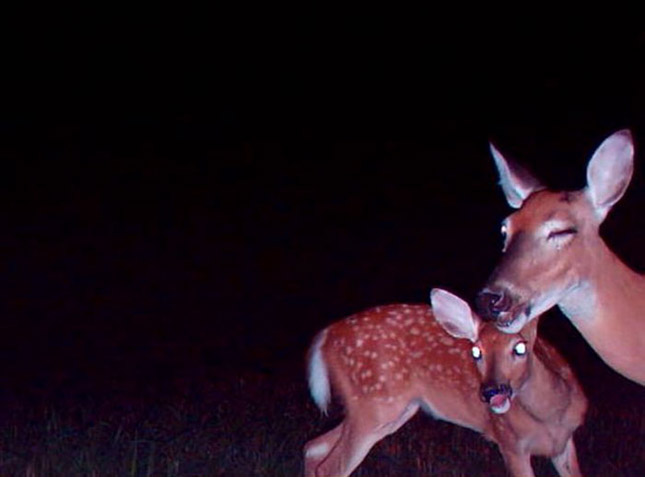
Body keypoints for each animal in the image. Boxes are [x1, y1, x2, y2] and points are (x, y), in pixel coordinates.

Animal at [302, 288, 584, 474]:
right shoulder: (511, 443)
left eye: (520, 348)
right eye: (476, 351)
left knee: (313, 447)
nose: (491, 392)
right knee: (329, 466)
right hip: (373, 405)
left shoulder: (566, 443)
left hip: (389, 411)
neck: (550, 417)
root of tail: (326, 335)